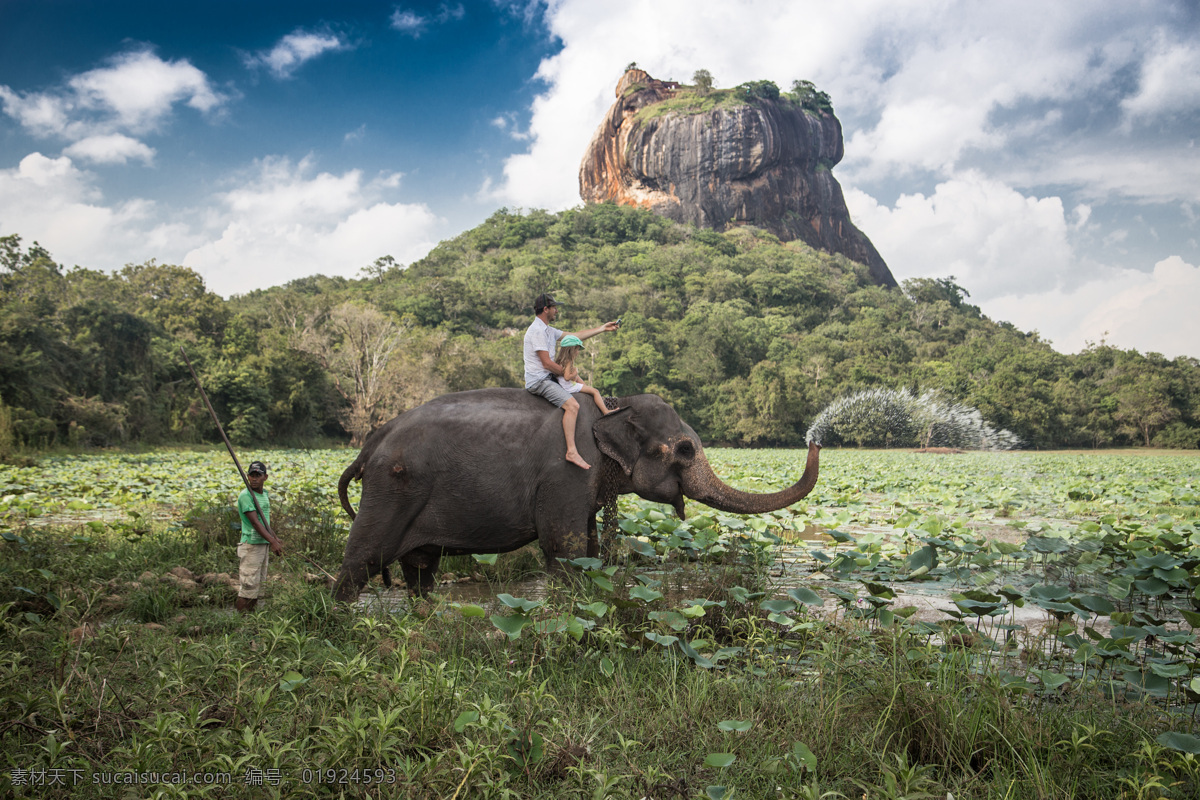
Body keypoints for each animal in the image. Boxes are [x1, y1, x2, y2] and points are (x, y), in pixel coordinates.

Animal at [332, 388, 820, 600]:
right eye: (684, 449)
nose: (815, 439)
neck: (613, 408)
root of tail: (371, 443)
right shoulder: (567, 473)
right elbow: (563, 549)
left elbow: (588, 548)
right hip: (391, 489)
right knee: (363, 559)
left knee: (420, 569)